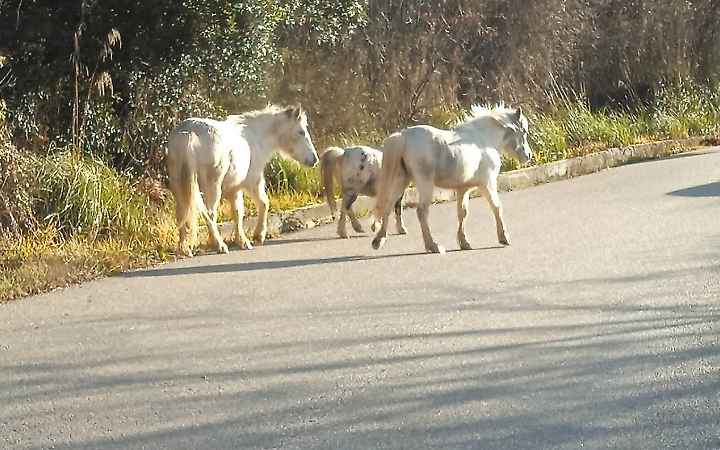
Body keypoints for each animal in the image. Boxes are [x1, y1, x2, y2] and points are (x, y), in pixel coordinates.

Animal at [166, 105, 318, 257]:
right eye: (301, 131)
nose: (314, 159)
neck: (255, 136)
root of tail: (187, 132)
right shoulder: (253, 182)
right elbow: (263, 203)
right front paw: (258, 236)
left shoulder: (234, 188)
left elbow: (237, 212)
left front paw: (242, 241)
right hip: (212, 186)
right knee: (210, 214)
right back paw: (219, 245)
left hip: (179, 185)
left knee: (182, 214)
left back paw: (185, 249)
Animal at [371, 104, 532, 254]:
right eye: (524, 130)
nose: (528, 155)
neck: (484, 141)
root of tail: (403, 136)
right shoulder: (487, 183)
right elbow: (496, 207)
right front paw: (504, 238)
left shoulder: (463, 189)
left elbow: (463, 213)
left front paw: (464, 243)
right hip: (425, 183)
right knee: (421, 211)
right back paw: (433, 246)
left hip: (401, 181)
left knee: (388, 205)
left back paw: (378, 240)